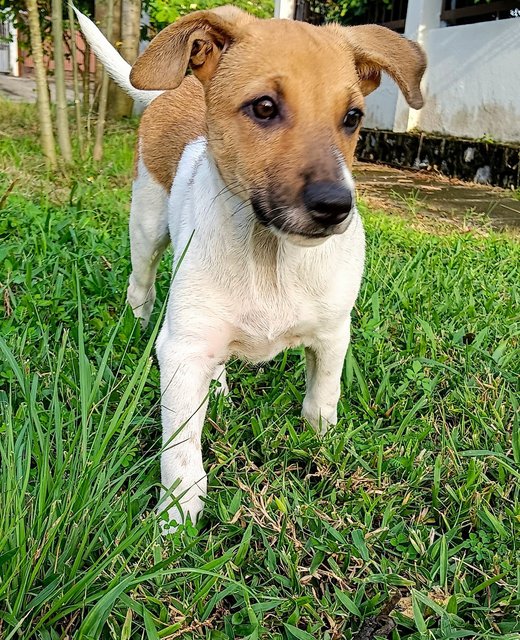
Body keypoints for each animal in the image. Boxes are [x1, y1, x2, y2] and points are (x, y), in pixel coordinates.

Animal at [77, 7, 426, 532]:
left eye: (352, 118)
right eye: (263, 107)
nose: (336, 207)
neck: (269, 256)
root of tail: (168, 91)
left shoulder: (333, 334)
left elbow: (322, 398)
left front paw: (322, 445)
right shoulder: (182, 351)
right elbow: (181, 448)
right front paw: (177, 516)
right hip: (147, 227)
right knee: (141, 290)